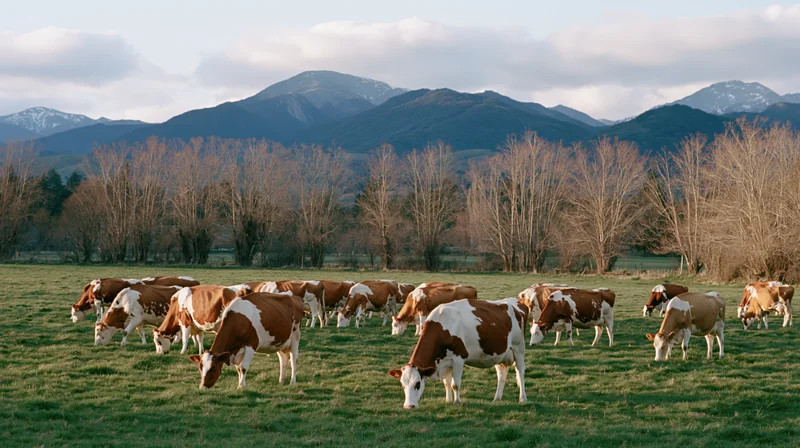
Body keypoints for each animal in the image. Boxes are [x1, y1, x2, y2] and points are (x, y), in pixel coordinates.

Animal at [388, 298, 528, 409]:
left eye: (417, 384)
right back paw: (497, 399)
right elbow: (447, 383)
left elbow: (455, 384)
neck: (443, 326)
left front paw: (457, 402)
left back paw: (522, 398)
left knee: (520, 372)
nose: (408, 406)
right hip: (500, 353)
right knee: (501, 374)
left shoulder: (459, 359)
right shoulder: (444, 361)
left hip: (519, 348)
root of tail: (516, 302)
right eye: (402, 384)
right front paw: (448, 401)